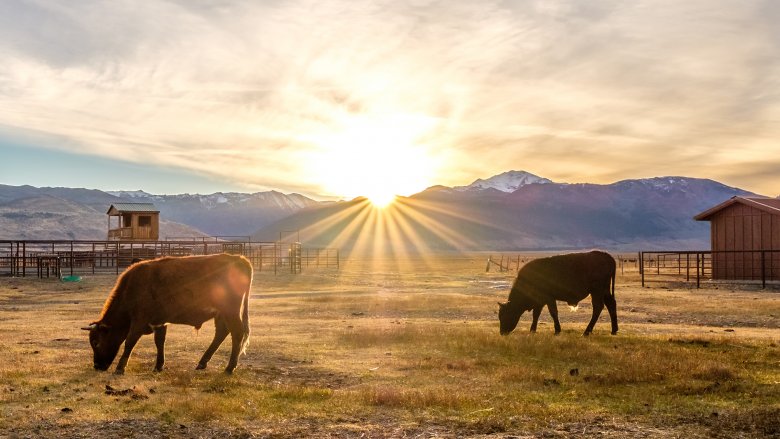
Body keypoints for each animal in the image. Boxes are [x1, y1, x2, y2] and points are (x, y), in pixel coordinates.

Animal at [82, 254, 253, 374]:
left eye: (96, 342)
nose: (97, 366)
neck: (132, 287)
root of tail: (239, 259)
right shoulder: (159, 321)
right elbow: (159, 342)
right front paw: (158, 366)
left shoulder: (139, 321)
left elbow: (130, 342)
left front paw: (120, 368)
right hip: (221, 313)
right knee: (222, 333)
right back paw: (202, 362)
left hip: (230, 311)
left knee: (237, 333)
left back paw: (229, 368)